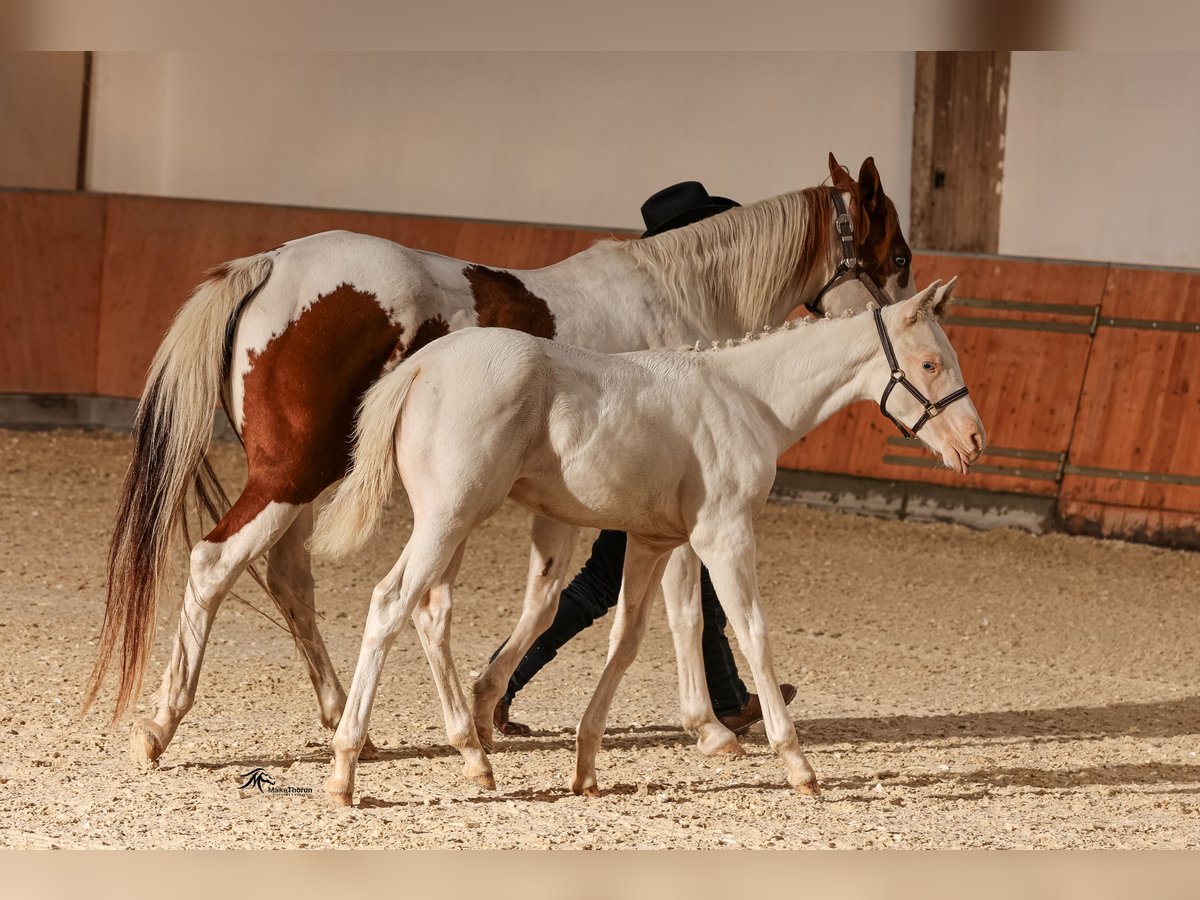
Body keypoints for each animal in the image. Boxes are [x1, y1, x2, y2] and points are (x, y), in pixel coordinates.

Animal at [84, 154, 912, 768]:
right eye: (899, 253)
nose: (907, 318)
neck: (679, 299)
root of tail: (270, 264)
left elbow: (582, 599)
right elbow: (674, 601)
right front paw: (714, 718)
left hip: (306, 479)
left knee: (289, 578)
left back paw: (345, 720)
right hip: (292, 476)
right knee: (214, 565)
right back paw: (161, 726)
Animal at [312, 280, 984, 801]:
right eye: (930, 363)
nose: (974, 442)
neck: (747, 399)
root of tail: (423, 364)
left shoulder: (655, 541)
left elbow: (630, 638)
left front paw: (586, 768)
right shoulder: (723, 537)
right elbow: (752, 632)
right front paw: (797, 765)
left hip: (453, 522)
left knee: (431, 613)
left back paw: (475, 756)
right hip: (449, 517)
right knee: (391, 604)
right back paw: (346, 771)